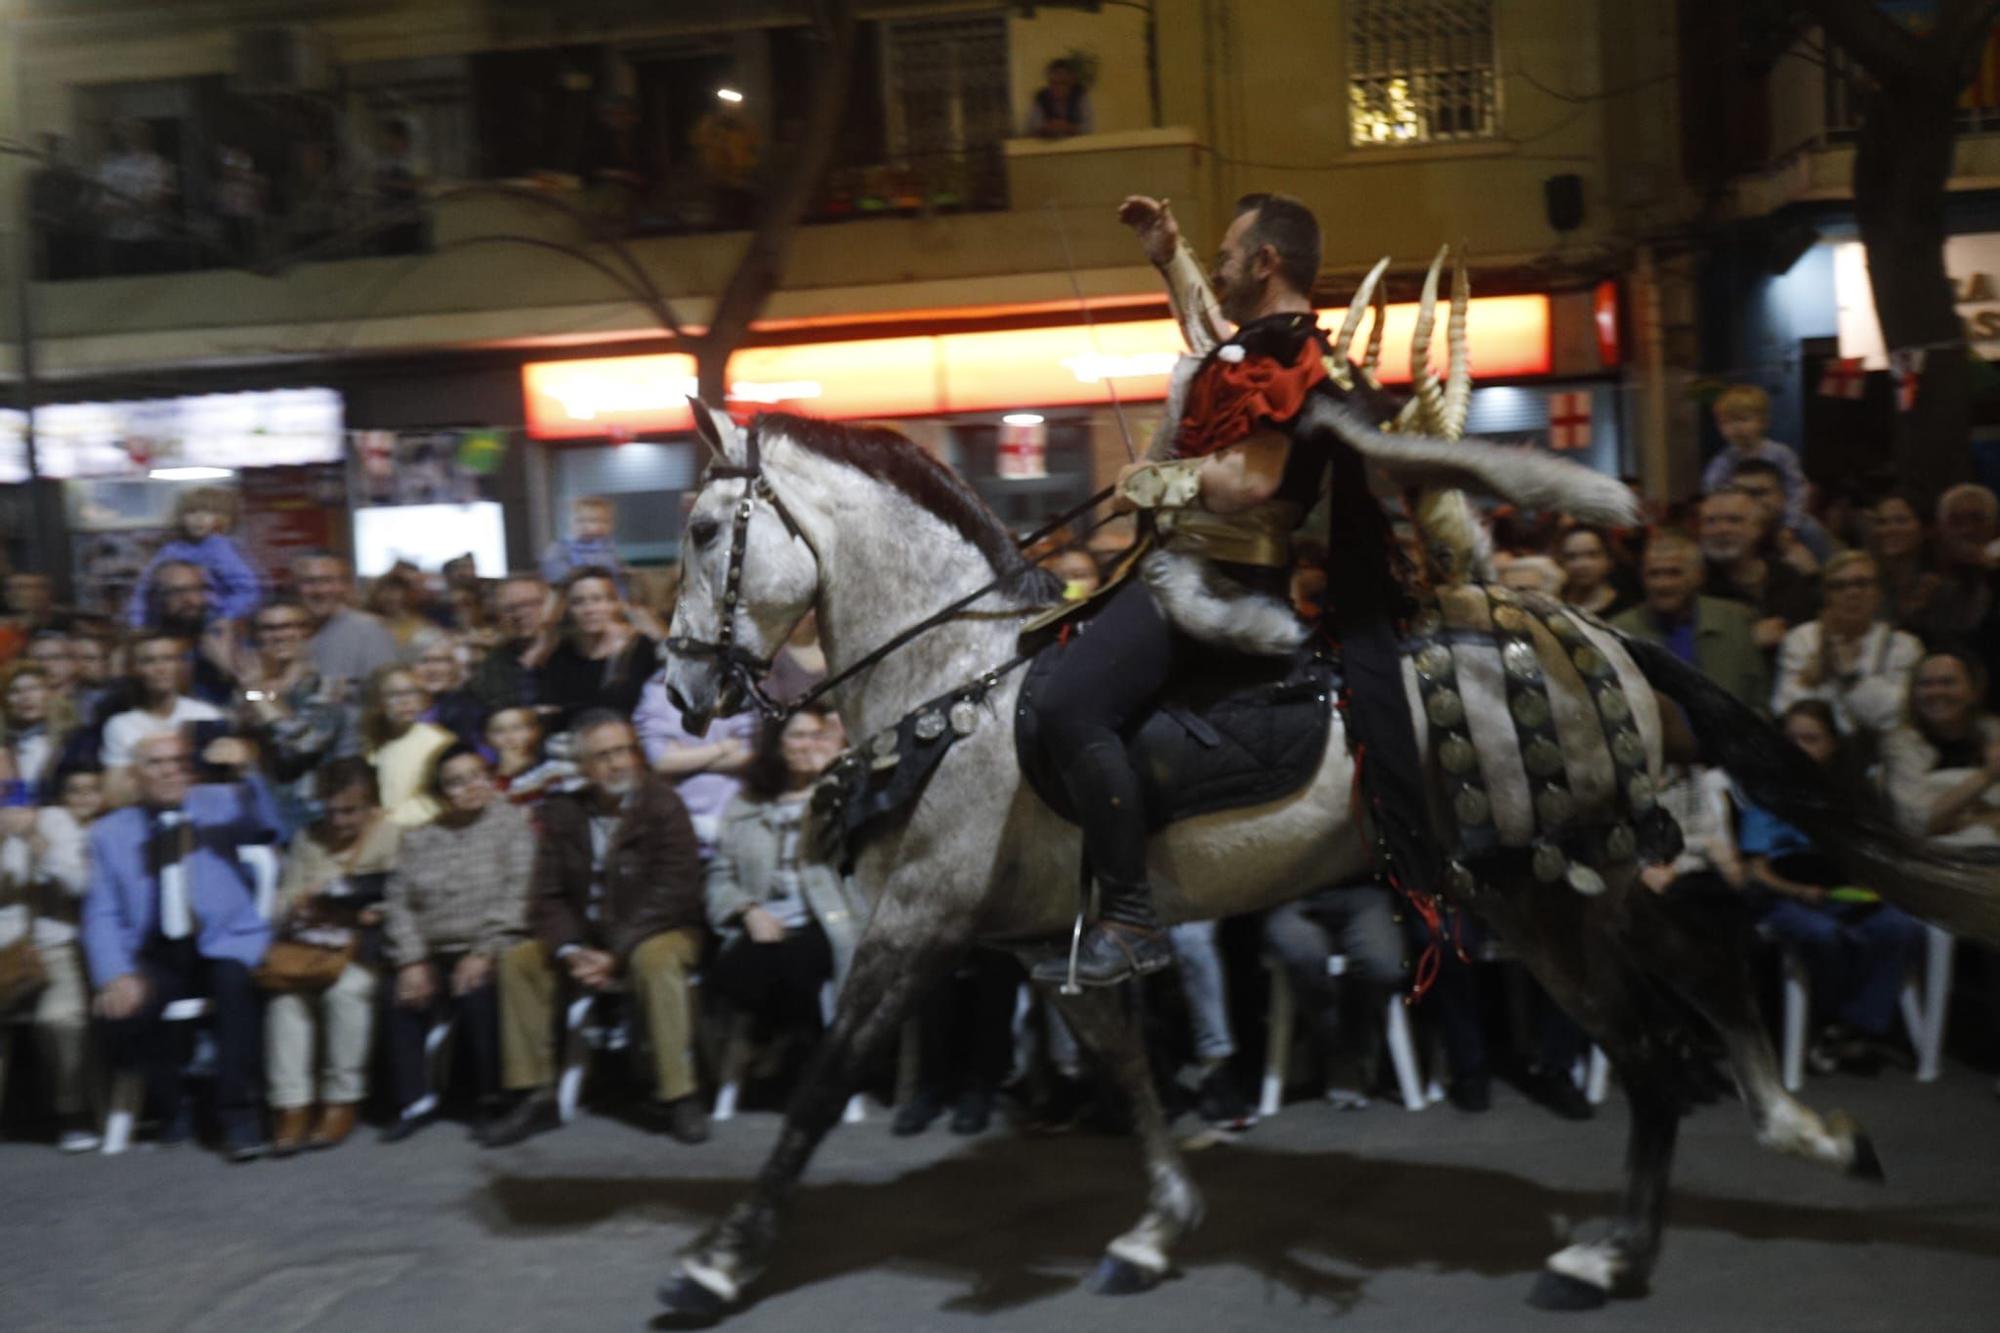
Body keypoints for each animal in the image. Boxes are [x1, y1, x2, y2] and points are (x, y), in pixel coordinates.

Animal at [660, 400, 2000, 1312]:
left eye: (700, 526)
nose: (678, 686)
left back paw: (1613, 1247)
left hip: (1528, 886)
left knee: (1648, 1043)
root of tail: (1601, 634)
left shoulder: (918, 922)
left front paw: (718, 1261)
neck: (955, 685)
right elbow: (1126, 1071)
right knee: (1697, 976)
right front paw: (1157, 1225)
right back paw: (1792, 1135)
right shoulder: (1052, 941)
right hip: (1573, 872)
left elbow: (824, 1079)